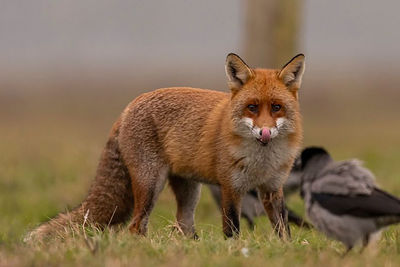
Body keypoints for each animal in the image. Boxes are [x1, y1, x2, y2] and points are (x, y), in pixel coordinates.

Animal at [26, 53, 304, 242]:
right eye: (252, 107)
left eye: (276, 107)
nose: (265, 132)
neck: (261, 161)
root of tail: (129, 106)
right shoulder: (231, 188)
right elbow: (232, 230)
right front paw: (233, 252)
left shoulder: (272, 188)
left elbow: (284, 230)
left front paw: (286, 250)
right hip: (150, 184)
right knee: (136, 227)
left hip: (190, 190)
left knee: (184, 226)